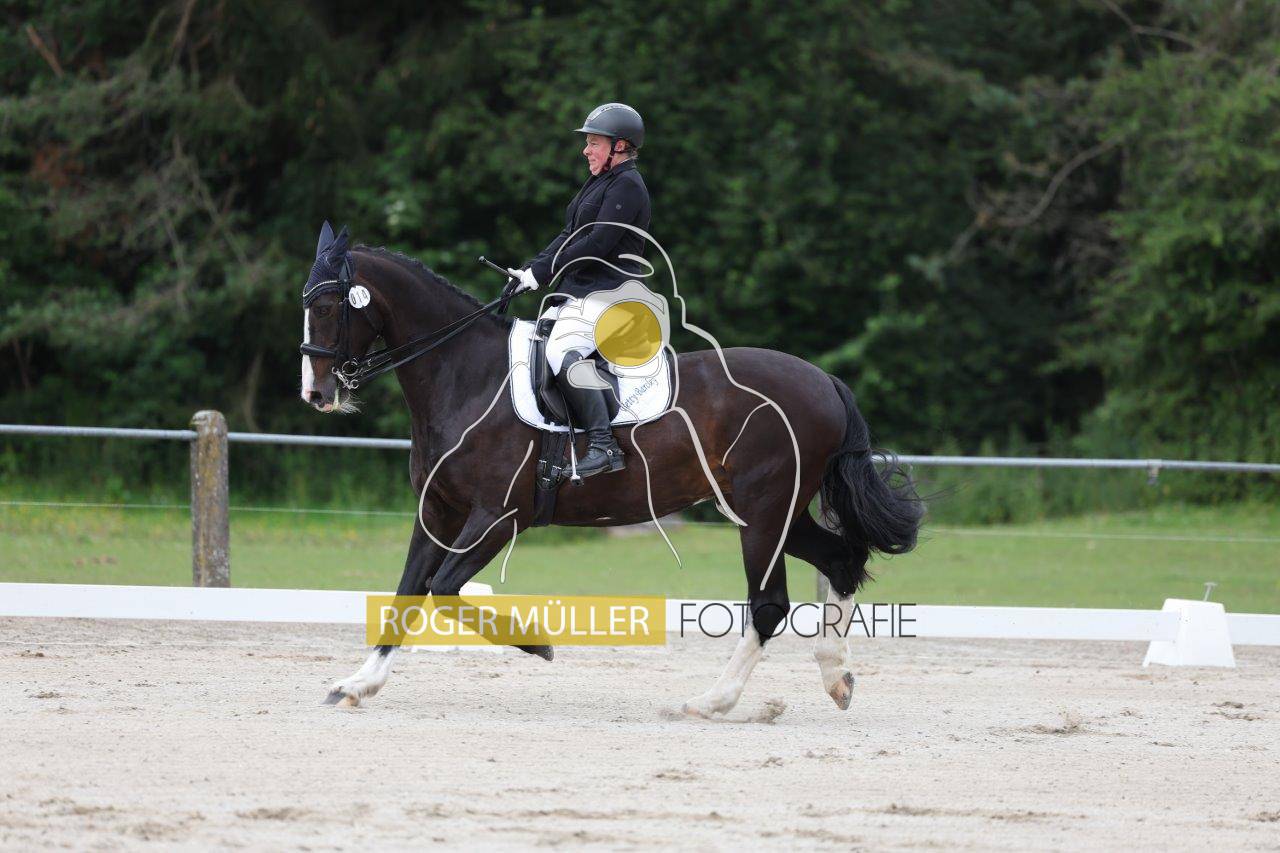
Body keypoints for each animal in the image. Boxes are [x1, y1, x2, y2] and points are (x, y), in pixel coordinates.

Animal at [300, 223, 923, 716]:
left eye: (328, 307)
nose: (317, 393)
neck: (465, 376)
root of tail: (825, 381)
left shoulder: (498, 517)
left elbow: (444, 588)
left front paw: (537, 644)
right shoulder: (438, 511)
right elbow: (408, 593)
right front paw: (357, 685)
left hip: (763, 512)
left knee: (769, 604)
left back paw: (711, 702)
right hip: (776, 512)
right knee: (841, 560)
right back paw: (836, 677)